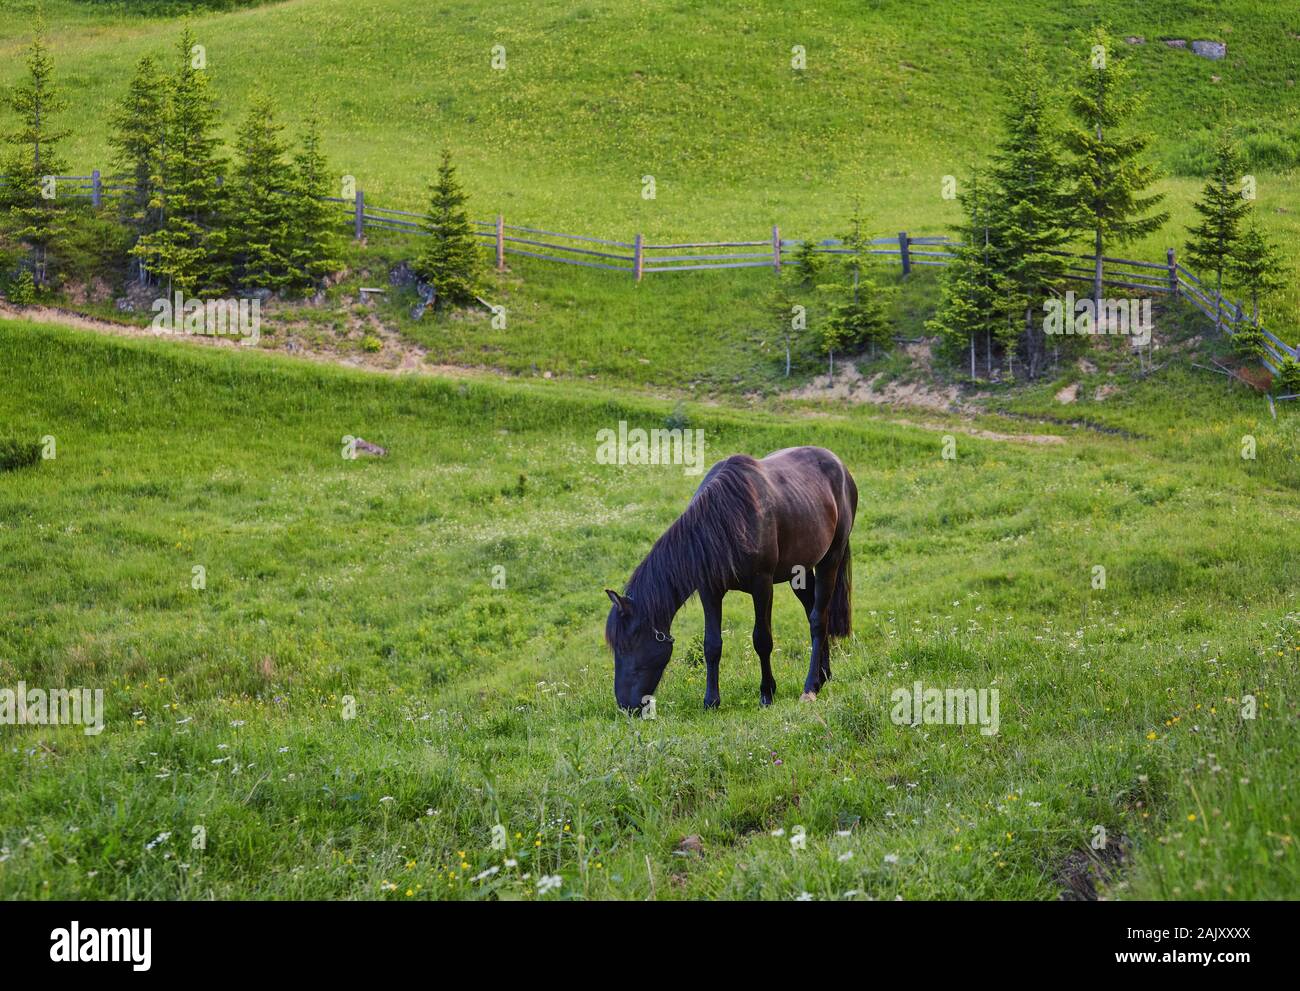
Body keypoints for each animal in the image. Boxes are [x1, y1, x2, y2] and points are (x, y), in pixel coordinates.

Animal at [604, 445, 857, 711]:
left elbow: (762, 639)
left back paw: (810, 687)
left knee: (819, 619)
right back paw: (823, 674)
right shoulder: (709, 590)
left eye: (628, 645)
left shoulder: (762, 585)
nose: (624, 705)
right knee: (814, 613)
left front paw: (767, 693)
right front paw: (711, 700)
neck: (727, 521)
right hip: (799, 572)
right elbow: (712, 645)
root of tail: (838, 465)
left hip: (830, 559)